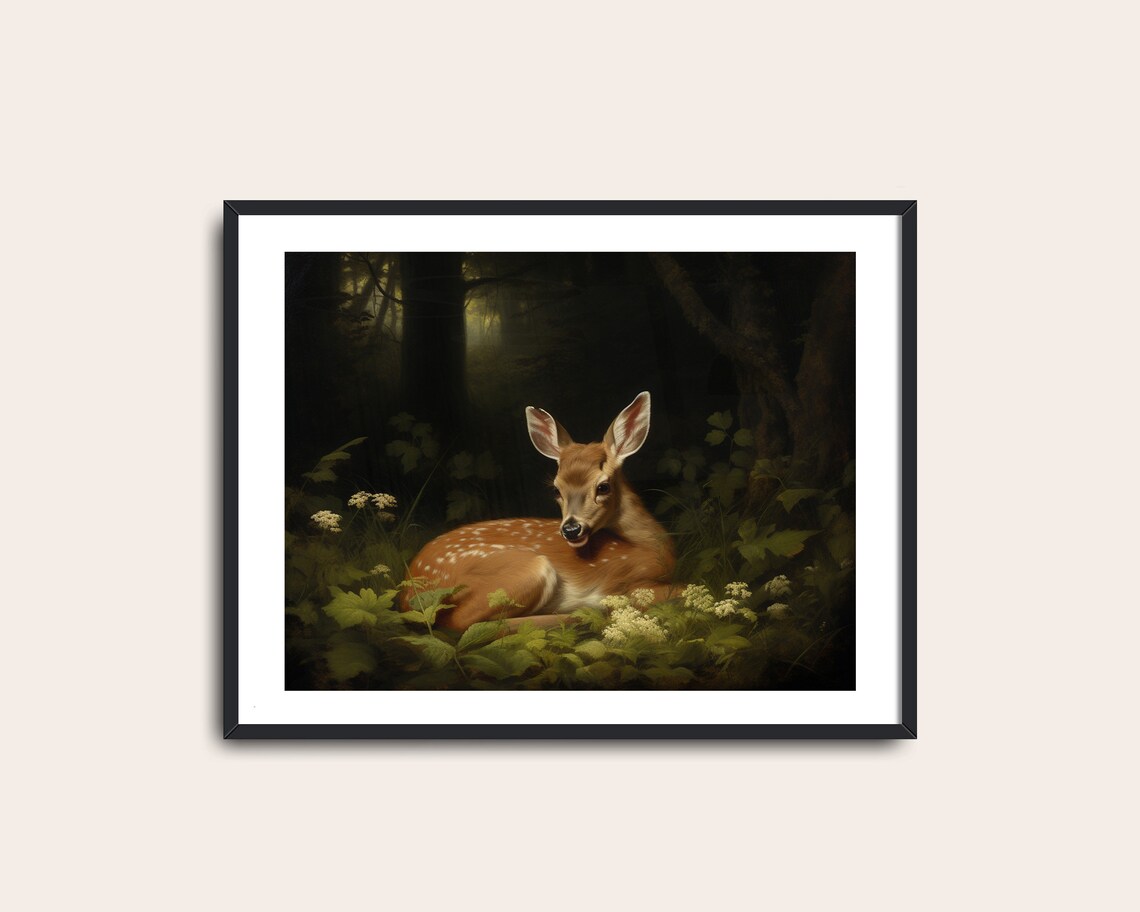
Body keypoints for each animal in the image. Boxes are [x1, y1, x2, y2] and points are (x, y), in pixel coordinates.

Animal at [403, 391, 676, 631]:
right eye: (556, 489)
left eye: (603, 486)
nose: (571, 529)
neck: (651, 548)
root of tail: (406, 593)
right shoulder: (626, 582)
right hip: (528, 570)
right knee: (463, 622)